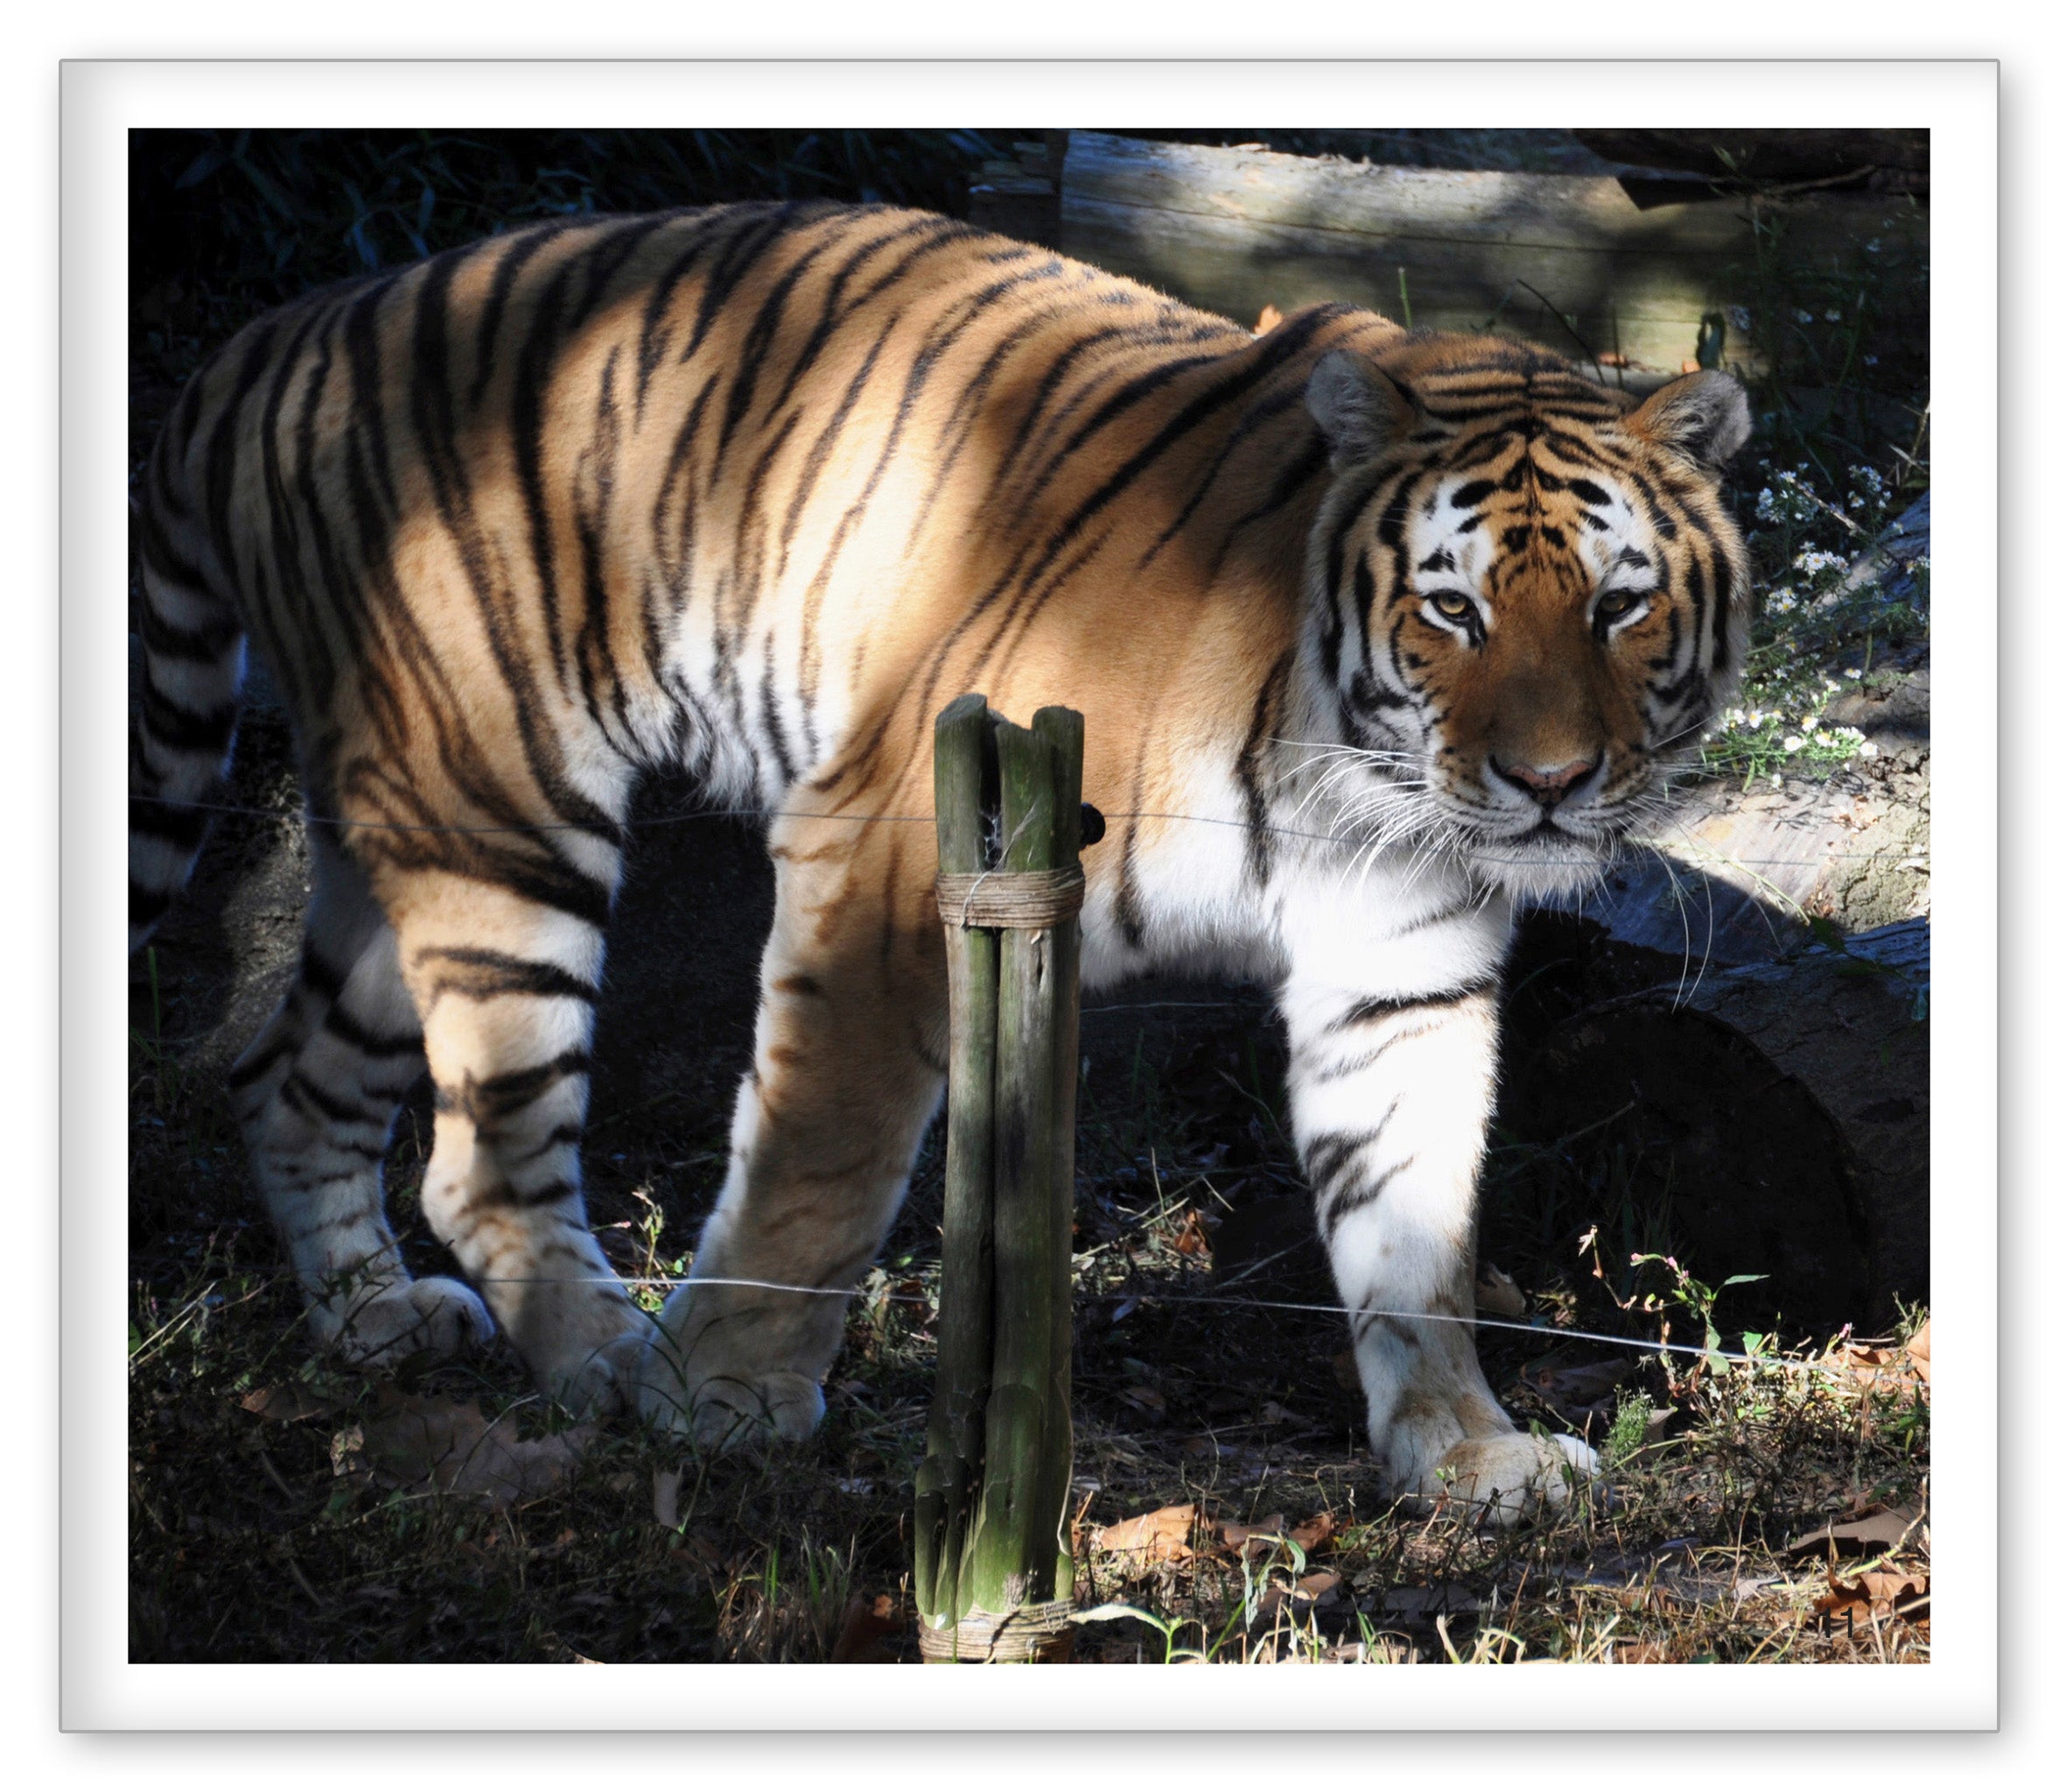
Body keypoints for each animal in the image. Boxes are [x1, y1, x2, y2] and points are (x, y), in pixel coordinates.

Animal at [129, 199, 1751, 1523]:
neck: (1353, 776)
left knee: (285, 1076)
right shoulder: (891, 860)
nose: (1548, 785)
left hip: (395, 828)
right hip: (499, 807)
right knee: (475, 1157)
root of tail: (276, 335)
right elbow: (821, 1163)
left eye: (1616, 607)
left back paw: (373, 1322)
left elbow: (1416, 1222)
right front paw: (722, 1397)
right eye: (1452, 610)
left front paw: (1464, 1452)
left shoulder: (1398, 967)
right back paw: (606, 1360)